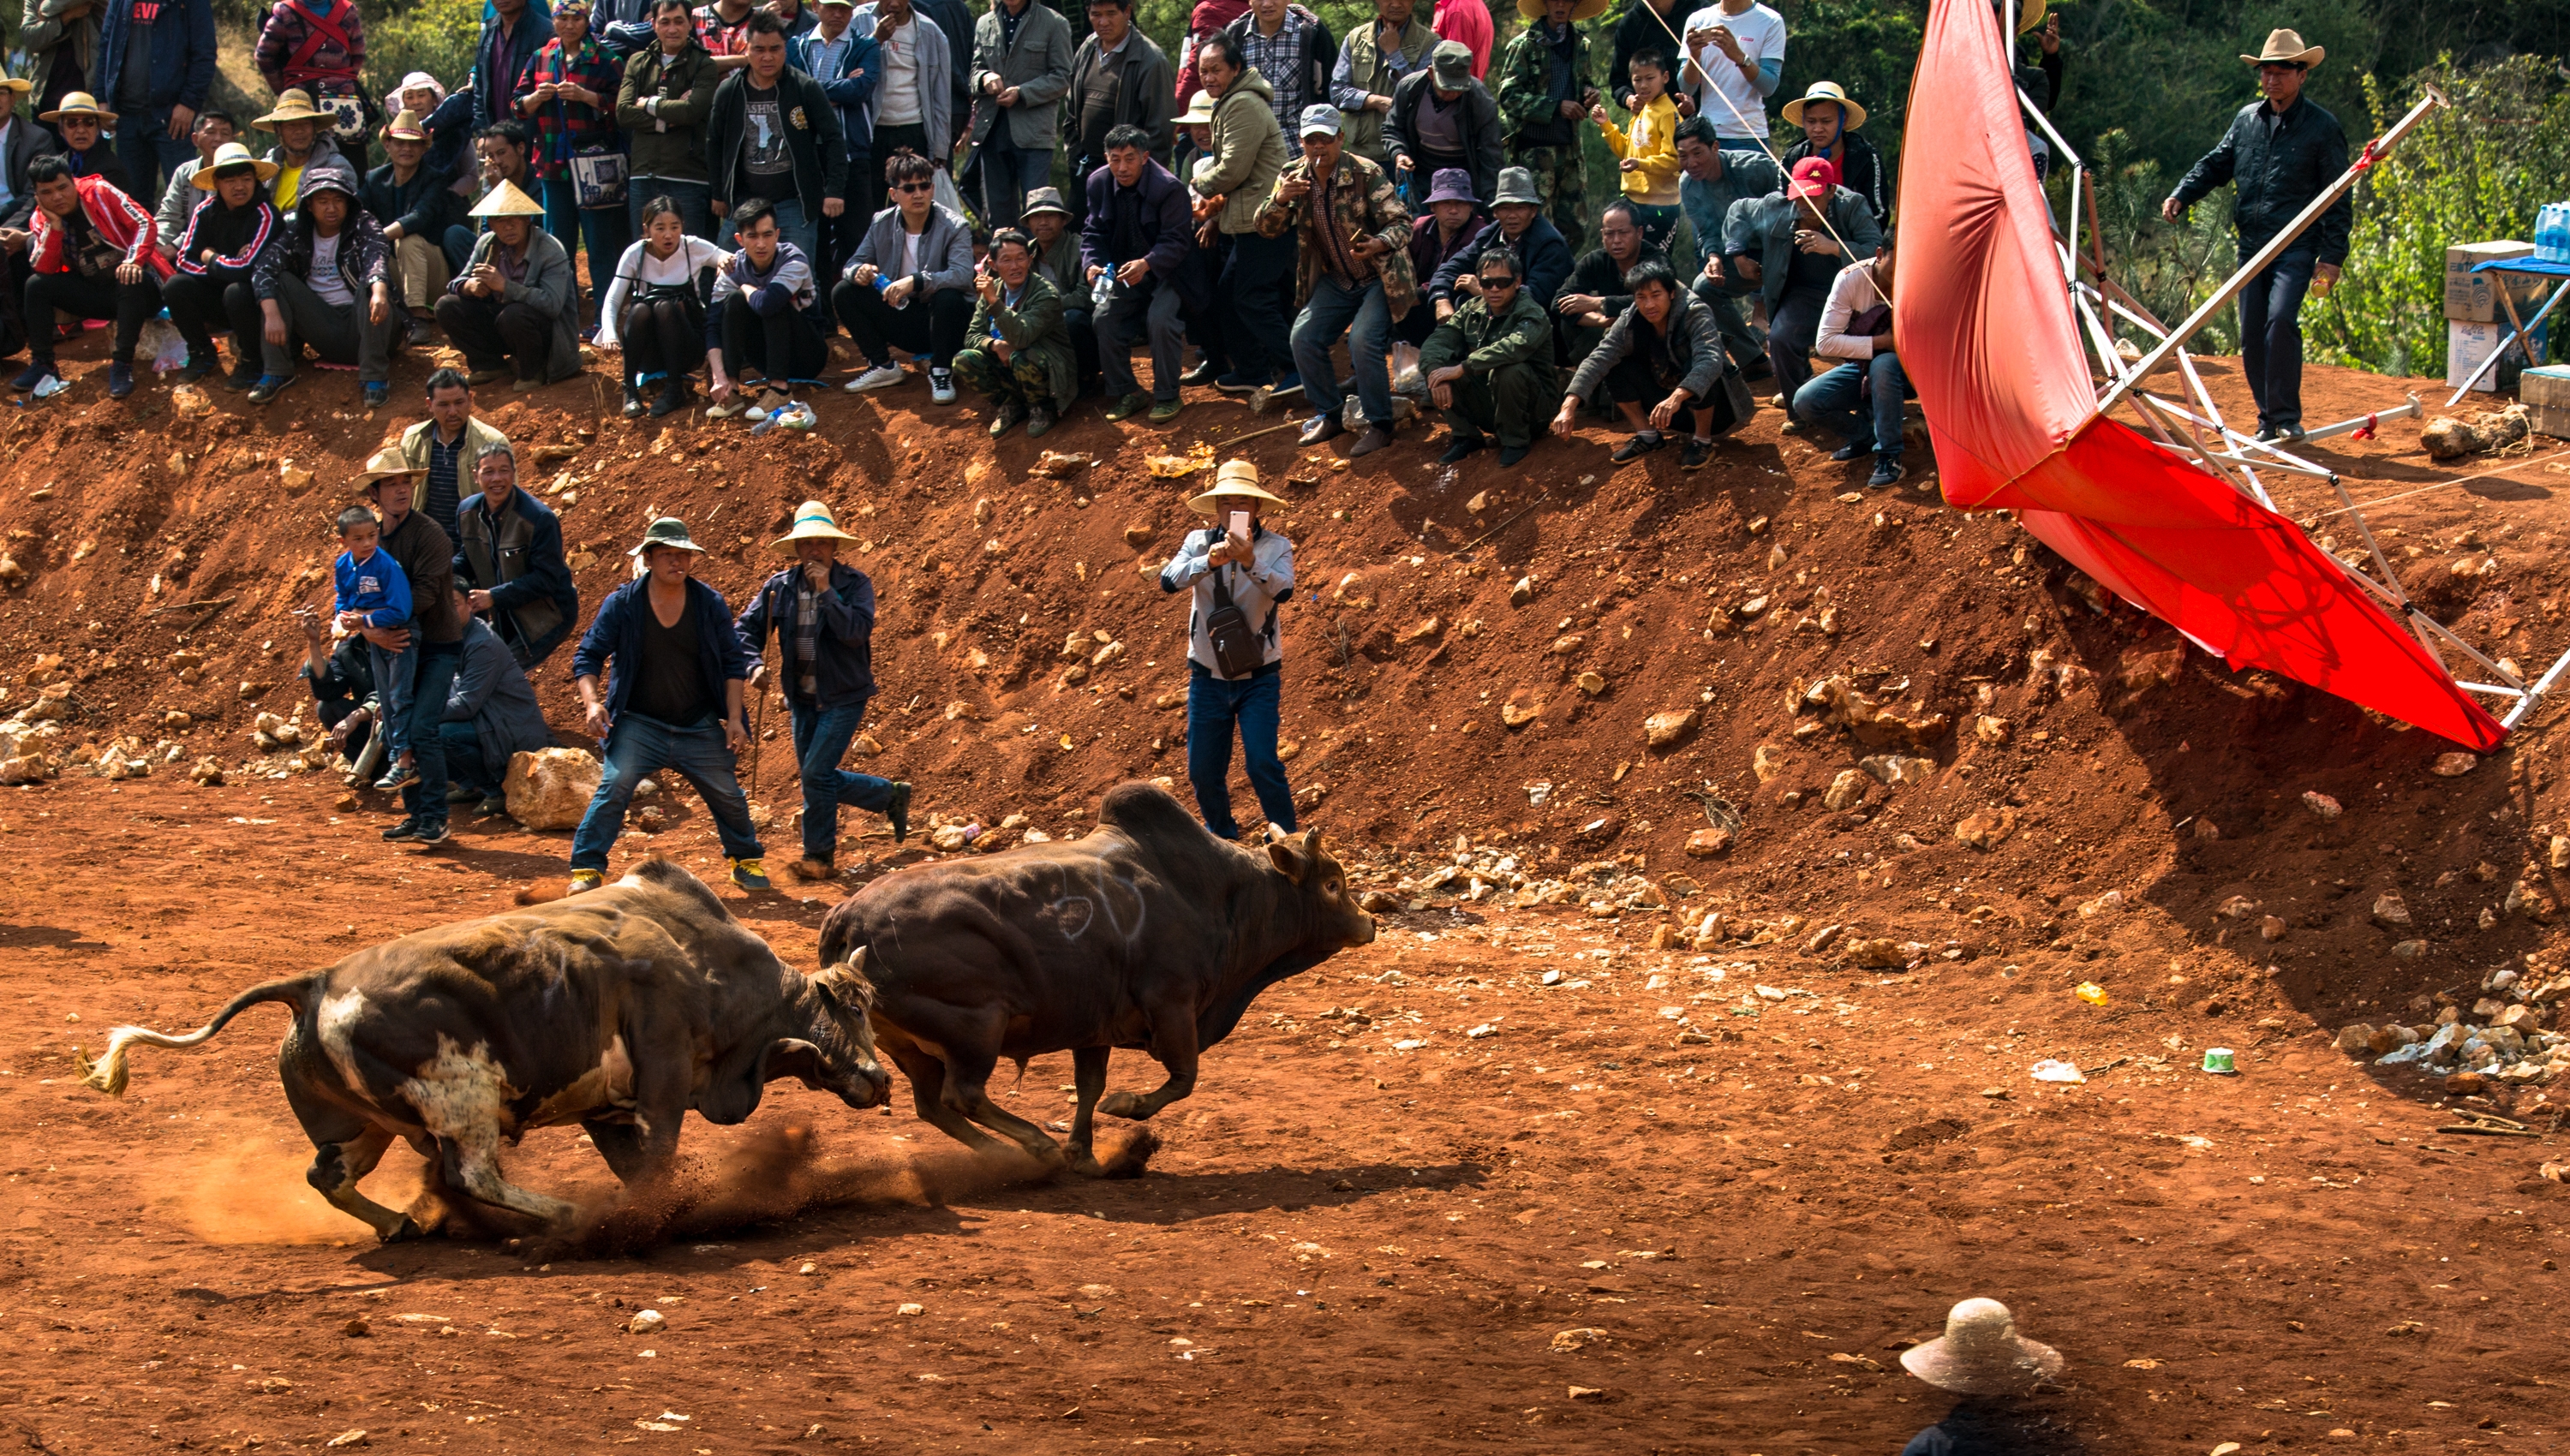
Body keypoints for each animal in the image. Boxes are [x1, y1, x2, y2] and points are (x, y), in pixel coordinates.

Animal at [73, 862, 894, 1248]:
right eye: (855, 1011)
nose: (881, 1079)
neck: (706, 962)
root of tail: (316, 984)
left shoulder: (607, 1106)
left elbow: (636, 1165)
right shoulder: (660, 1080)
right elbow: (657, 1161)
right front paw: (644, 1220)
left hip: (363, 1124)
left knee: (330, 1175)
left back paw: (404, 1225)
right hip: (462, 1101)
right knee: (472, 1174)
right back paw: (562, 1215)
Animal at [817, 785, 1378, 1176]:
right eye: (1333, 884)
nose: (1370, 923)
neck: (1217, 894)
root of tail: (848, 915)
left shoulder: (1093, 1028)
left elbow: (1089, 1087)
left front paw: (1084, 1154)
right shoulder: (1173, 1005)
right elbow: (1182, 1079)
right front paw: (1126, 1109)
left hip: (904, 1044)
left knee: (933, 1105)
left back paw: (1007, 1154)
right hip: (975, 1030)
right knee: (962, 1096)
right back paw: (1034, 1147)